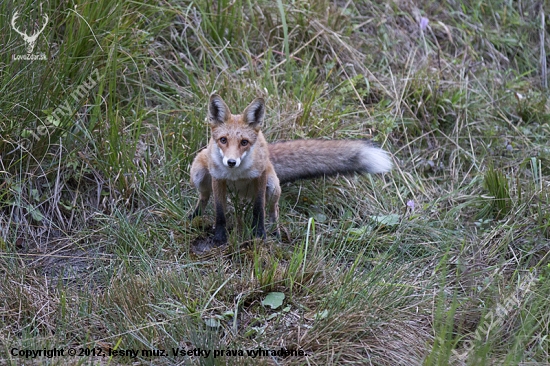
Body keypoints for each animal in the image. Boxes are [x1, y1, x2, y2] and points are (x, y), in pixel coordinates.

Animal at [192, 94, 394, 246]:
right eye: (223, 140)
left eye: (244, 142)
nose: (231, 162)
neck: (236, 174)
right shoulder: (218, 177)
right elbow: (220, 212)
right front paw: (219, 237)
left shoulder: (261, 176)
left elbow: (259, 209)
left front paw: (259, 235)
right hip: (198, 173)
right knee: (204, 196)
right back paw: (194, 217)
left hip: (273, 186)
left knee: (273, 208)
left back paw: (275, 231)